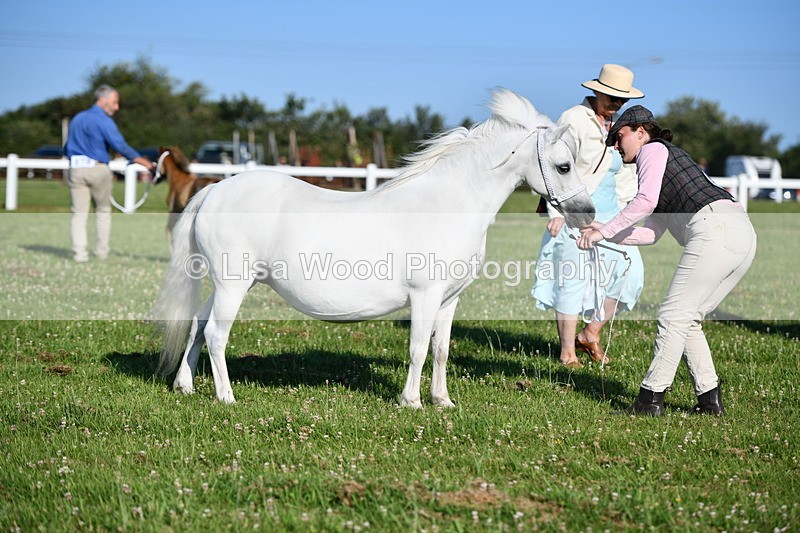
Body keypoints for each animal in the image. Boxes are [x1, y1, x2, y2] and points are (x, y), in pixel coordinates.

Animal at [151, 89, 595, 406]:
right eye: (563, 166)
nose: (587, 213)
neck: (447, 203)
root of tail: (214, 190)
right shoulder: (425, 296)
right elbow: (418, 348)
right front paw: (411, 402)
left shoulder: (450, 299)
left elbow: (441, 350)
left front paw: (443, 401)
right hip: (233, 285)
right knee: (216, 335)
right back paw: (226, 397)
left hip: (229, 285)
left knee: (197, 324)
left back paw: (185, 386)